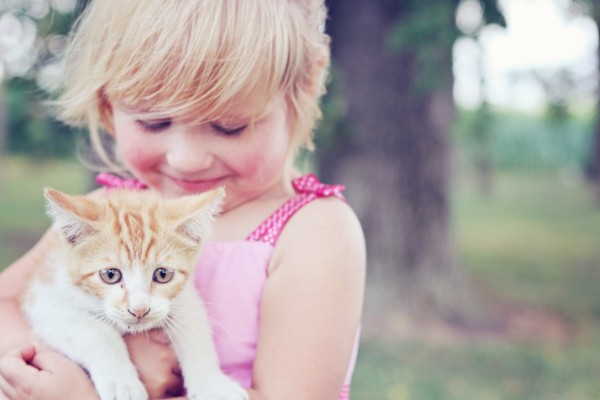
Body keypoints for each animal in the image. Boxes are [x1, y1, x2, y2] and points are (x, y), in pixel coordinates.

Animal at [23, 188, 248, 400]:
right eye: (110, 275)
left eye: (163, 274)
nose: (139, 310)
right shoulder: (46, 301)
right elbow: (98, 333)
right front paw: (122, 384)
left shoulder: (185, 298)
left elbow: (195, 333)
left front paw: (215, 386)